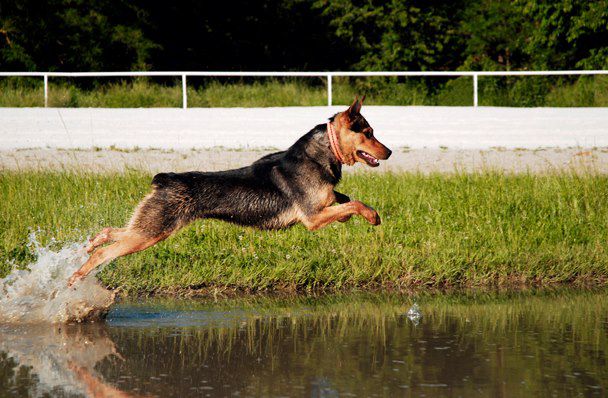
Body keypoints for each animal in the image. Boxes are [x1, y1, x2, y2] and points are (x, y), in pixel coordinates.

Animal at [66, 98, 390, 288]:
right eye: (369, 134)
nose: (388, 152)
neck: (325, 151)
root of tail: (164, 180)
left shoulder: (321, 207)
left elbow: (343, 200)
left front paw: (349, 213)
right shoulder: (312, 218)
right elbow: (355, 203)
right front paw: (372, 216)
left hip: (148, 227)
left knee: (110, 232)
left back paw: (91, 244)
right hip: (151, 232)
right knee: (105, 252)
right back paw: (78, 275)